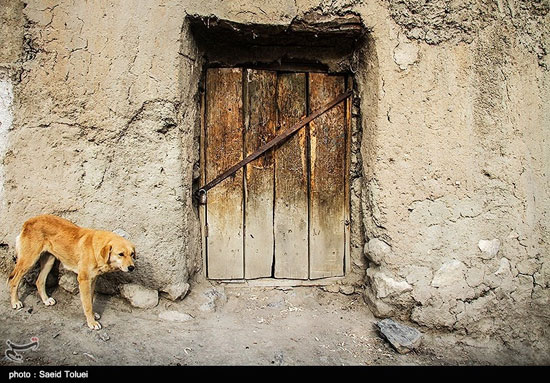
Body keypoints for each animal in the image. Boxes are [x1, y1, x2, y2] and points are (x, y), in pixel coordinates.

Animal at [8, 216, 136, 330]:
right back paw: (15, 302)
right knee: (13, 280)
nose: (131, 268)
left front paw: (92, 315)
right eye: (121, 254)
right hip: (29, 261)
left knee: (39, 281)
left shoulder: (92, 280)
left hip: (49, 260)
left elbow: (90, 300)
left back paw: (45, 300)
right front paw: (91, 322)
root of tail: (29, 221)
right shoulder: (84, 280)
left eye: (132, 254)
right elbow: (87, 304)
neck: (95, 248)